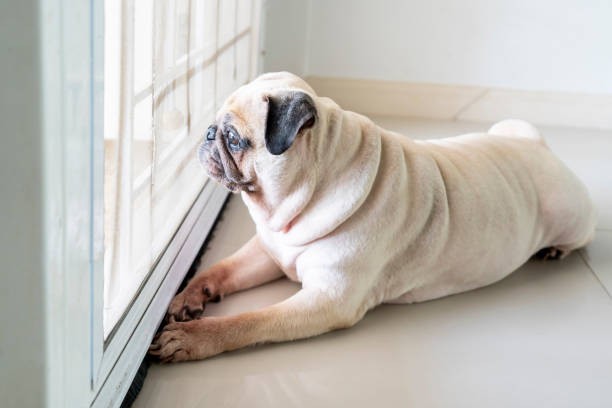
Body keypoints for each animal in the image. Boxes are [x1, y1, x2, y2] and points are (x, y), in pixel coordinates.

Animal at [149, 71, 596, 362]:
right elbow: (219, 269)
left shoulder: (327, 300)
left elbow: (249, 322)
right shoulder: (270, 250)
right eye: (216, 128)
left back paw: (555, 250)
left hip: (571, 215)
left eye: (235, 139)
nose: (208, 133)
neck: (305, 192)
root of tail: (537, 146)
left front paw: (192, 339)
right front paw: (188, 296)